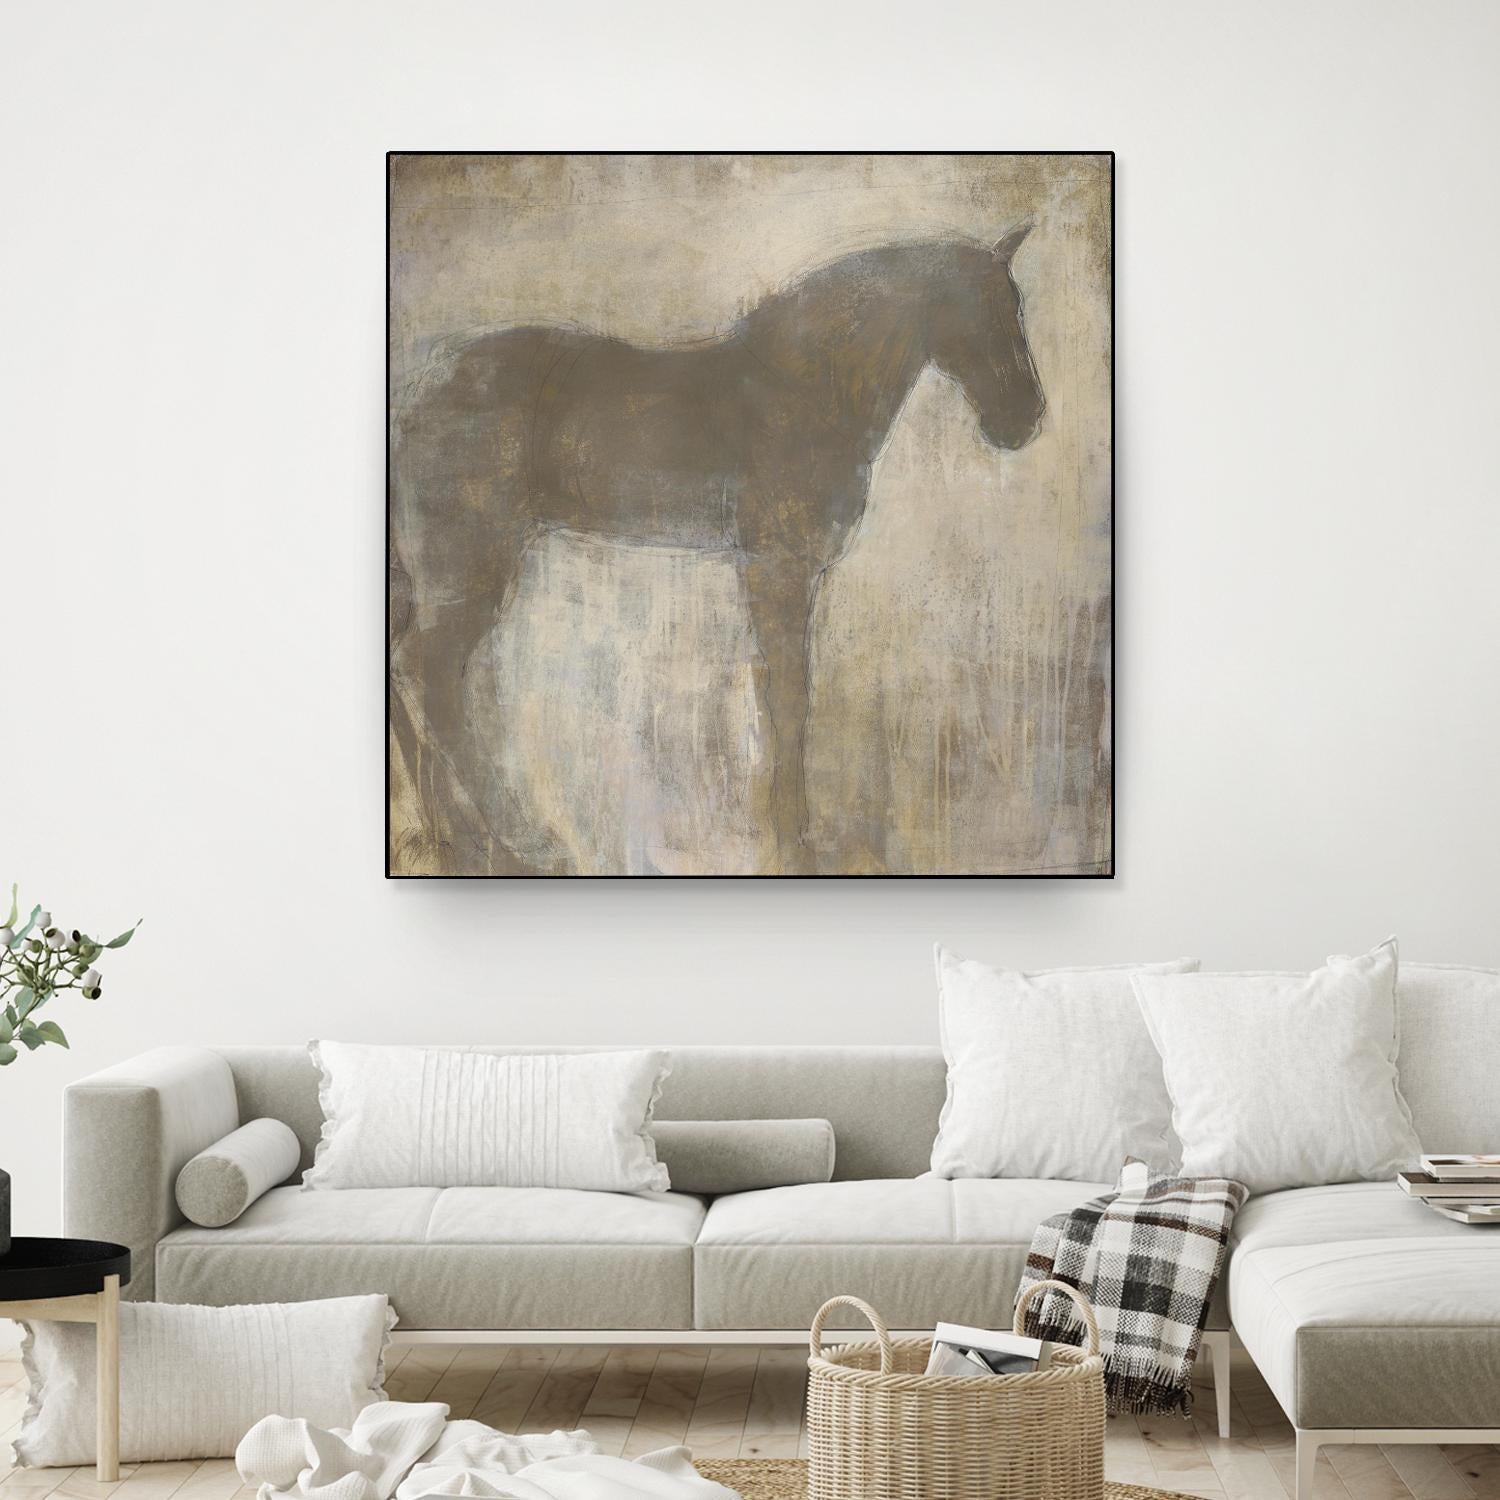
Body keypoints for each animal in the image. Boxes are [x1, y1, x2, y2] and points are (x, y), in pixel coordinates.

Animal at [390, 224, 1047, 875]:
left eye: (1016, 307)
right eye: (985, 309)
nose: (1025, 419)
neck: (806, 388)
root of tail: (422, 396)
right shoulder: (778, 570)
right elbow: (788, 698)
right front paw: (793, 840)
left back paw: (449, 833)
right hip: (471, 564)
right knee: (432, 673)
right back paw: (518, 838)